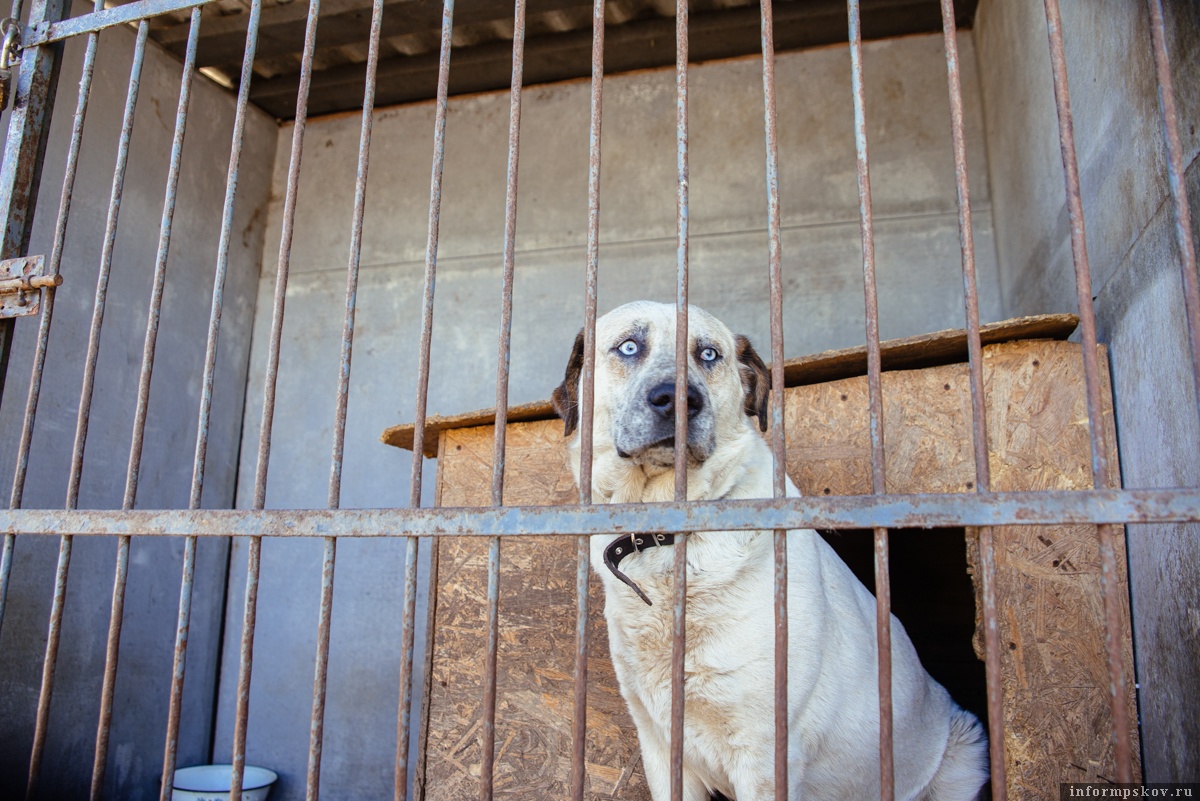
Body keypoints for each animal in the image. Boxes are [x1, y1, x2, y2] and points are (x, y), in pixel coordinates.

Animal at [549, 299, 984, 801]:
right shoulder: (659, 743)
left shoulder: (765, 753)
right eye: (629, 347)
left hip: (964, 748)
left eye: (709, 355)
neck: (668, 533)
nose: (679, 400)